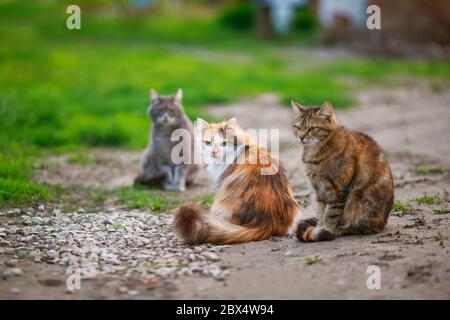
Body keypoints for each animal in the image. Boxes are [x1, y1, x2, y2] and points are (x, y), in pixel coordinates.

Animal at [292, 101, 394, 241]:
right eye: (297, 127)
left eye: (311, 128)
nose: (301, 137)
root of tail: (384, 222)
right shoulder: (318, 190)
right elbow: (320, 212)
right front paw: (319, 227)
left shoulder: (338, 189)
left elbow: (330, 214)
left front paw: (326, 230)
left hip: (359, 202)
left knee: (362, 226)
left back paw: (342, 230)